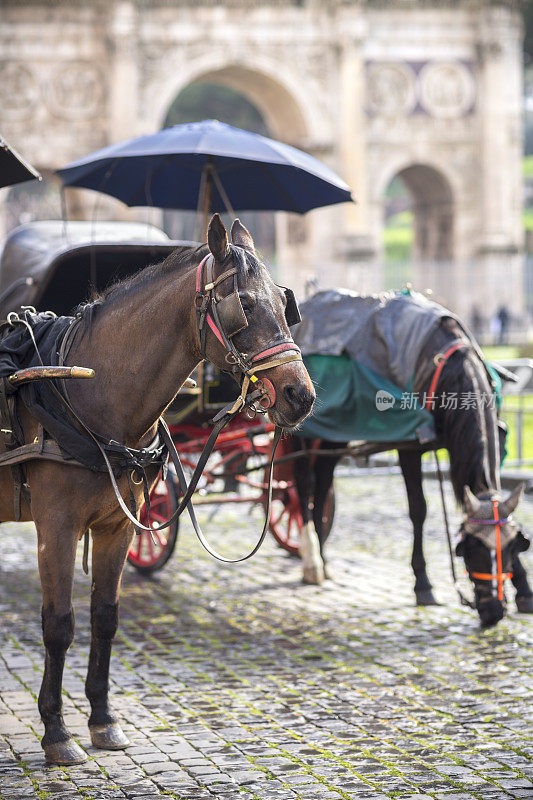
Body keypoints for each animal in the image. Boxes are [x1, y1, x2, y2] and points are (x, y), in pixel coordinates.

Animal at [0, 216, 314, 764]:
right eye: (244, 304)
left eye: (284, 301)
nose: (301, 395)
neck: (87, 394)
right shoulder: (55, 529)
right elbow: (59, 624)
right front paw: (56, 731)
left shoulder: (117, 528)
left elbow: (105, 617)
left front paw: (103, 720)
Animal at [294, 314, 528, 624]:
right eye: (471, 550)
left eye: (510, 548)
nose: (493, 611)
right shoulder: (409, 444)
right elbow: (419, 510)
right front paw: (423, 583)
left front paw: (524, 587)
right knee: (302, 482)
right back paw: (311, 557)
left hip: (337, 427)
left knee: (323, 477)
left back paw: (322, 553)